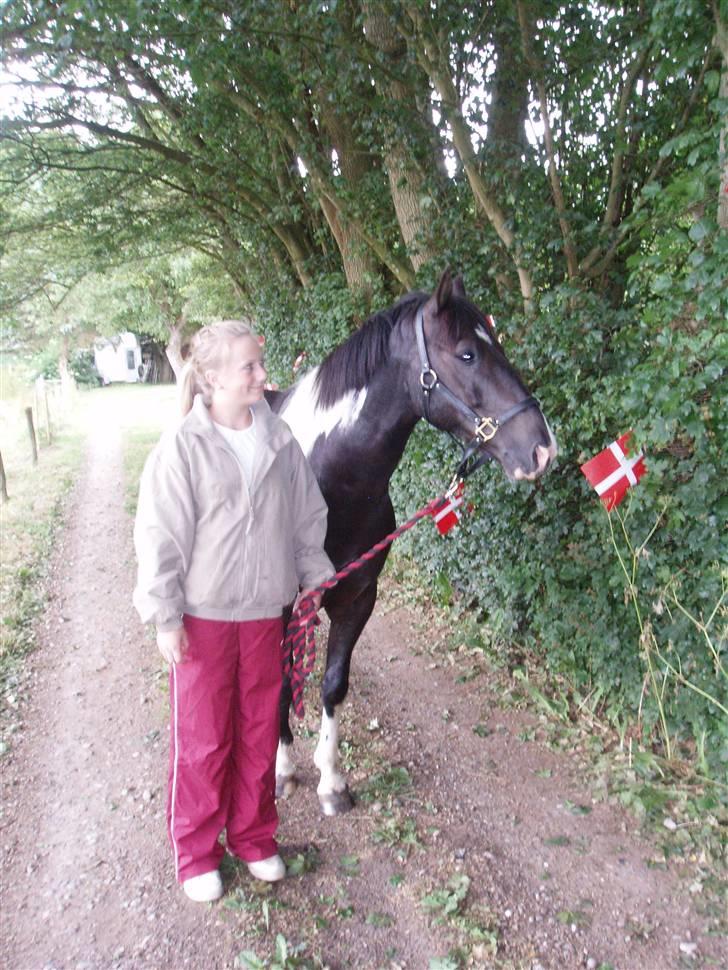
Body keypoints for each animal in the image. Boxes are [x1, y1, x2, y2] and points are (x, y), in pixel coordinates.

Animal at [264, 268, 556, 812]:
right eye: (467, 353)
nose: (542, 447)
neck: (323, 484)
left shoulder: (357, 597)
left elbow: (332, 685)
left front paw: (331, 780)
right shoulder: (278, 609)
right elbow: (276, 683)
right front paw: (281, 770)